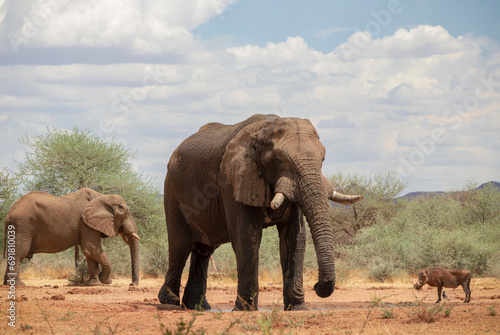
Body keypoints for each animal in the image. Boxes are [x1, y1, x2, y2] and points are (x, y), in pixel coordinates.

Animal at [3, 188, 141, 288]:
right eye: (126, 214)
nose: (132, 284)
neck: (102, 196)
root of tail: (9, 213)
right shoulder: (85, 223)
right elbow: (91, 249)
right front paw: (105, 281)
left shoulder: (87, 223)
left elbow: (90, 254)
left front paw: (94, 284)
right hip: (22, 226)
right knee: (19, 253)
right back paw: (19, 285)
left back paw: (6, 284)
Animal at [158, 114, 362, 312]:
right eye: (278, 160)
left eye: (323, 159)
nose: (317, 286)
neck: (266, 128)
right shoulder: (233, 180)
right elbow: (247, 237)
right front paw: (245, 309)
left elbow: (295, 238)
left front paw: (298, 308)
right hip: (172, 190)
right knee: (179, 247)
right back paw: (169, 301)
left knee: (204, 250)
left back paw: (198, 307)